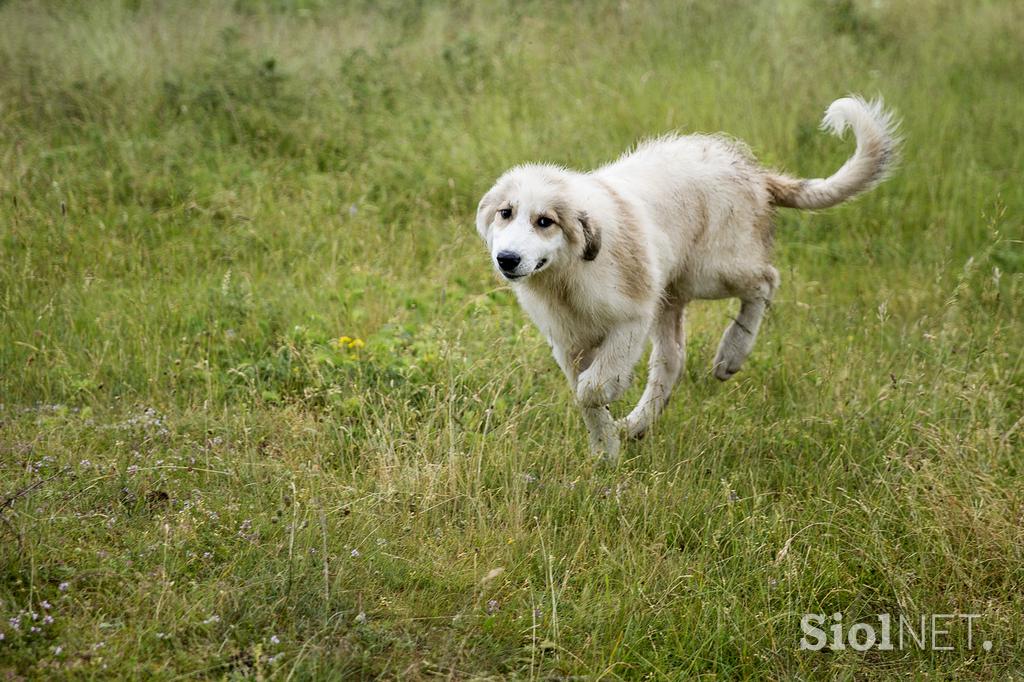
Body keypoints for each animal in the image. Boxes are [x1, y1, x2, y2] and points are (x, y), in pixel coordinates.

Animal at [473, 95, 897, 456]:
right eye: (505, 213)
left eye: (545, 221)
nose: (506, 259)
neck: (568, 274)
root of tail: (755, 174)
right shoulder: (567, 342)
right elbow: (584, 394)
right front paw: (605, 449)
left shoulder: (632, 317)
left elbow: (593, 388)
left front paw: (609, 412)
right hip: (670, 293)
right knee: (672, 359)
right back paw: (637, 425)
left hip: (709, 272)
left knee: (766, 279)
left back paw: (731, 353)